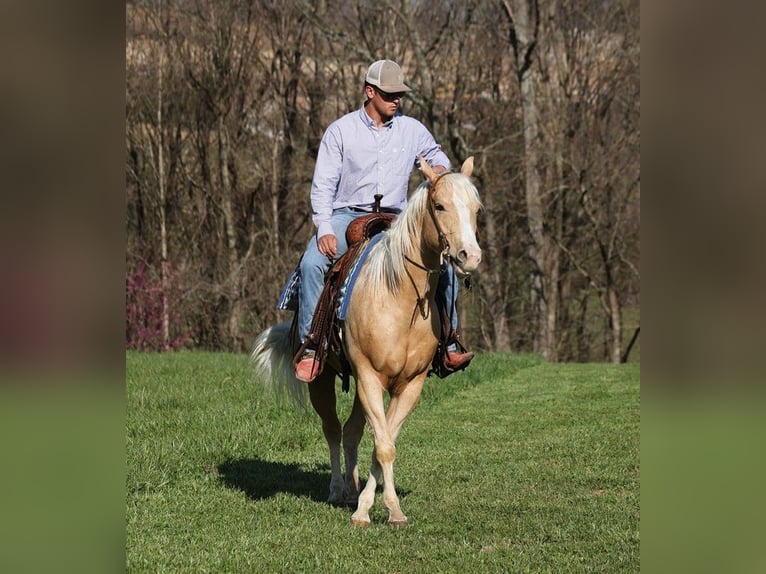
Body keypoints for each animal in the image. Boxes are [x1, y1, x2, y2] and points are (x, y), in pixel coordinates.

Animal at [250, 156, 480, 528]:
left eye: (476, 209)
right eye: (439, 206)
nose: (469, 256)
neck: (400, 297)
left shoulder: (409, 385)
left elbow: (383, 442)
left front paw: (380, 506)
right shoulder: (370, 377)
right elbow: (382, 444)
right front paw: (370, 511)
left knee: (352, 431)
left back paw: (351, 488)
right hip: (323, 380)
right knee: (332, 428)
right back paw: (336, 489)